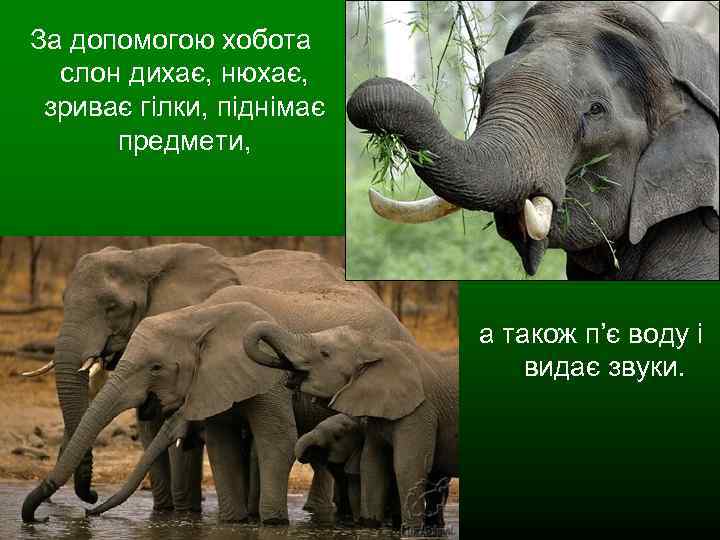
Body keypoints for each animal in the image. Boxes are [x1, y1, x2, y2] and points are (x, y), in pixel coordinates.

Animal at [22, 243, 349, 511]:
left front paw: (183, 513)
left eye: (112, 307)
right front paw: (163, 512)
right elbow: (149, 425)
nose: (90, 497)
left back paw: (315, 510)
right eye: (63, 299)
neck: (142, 258)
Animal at [244, 322, 459, 529]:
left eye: (324, 353)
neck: (377, 347)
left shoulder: (421, 411)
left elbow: (407, 465)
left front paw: (410, 530)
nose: (282, 370)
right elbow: (372, 465)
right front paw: (369, 526)